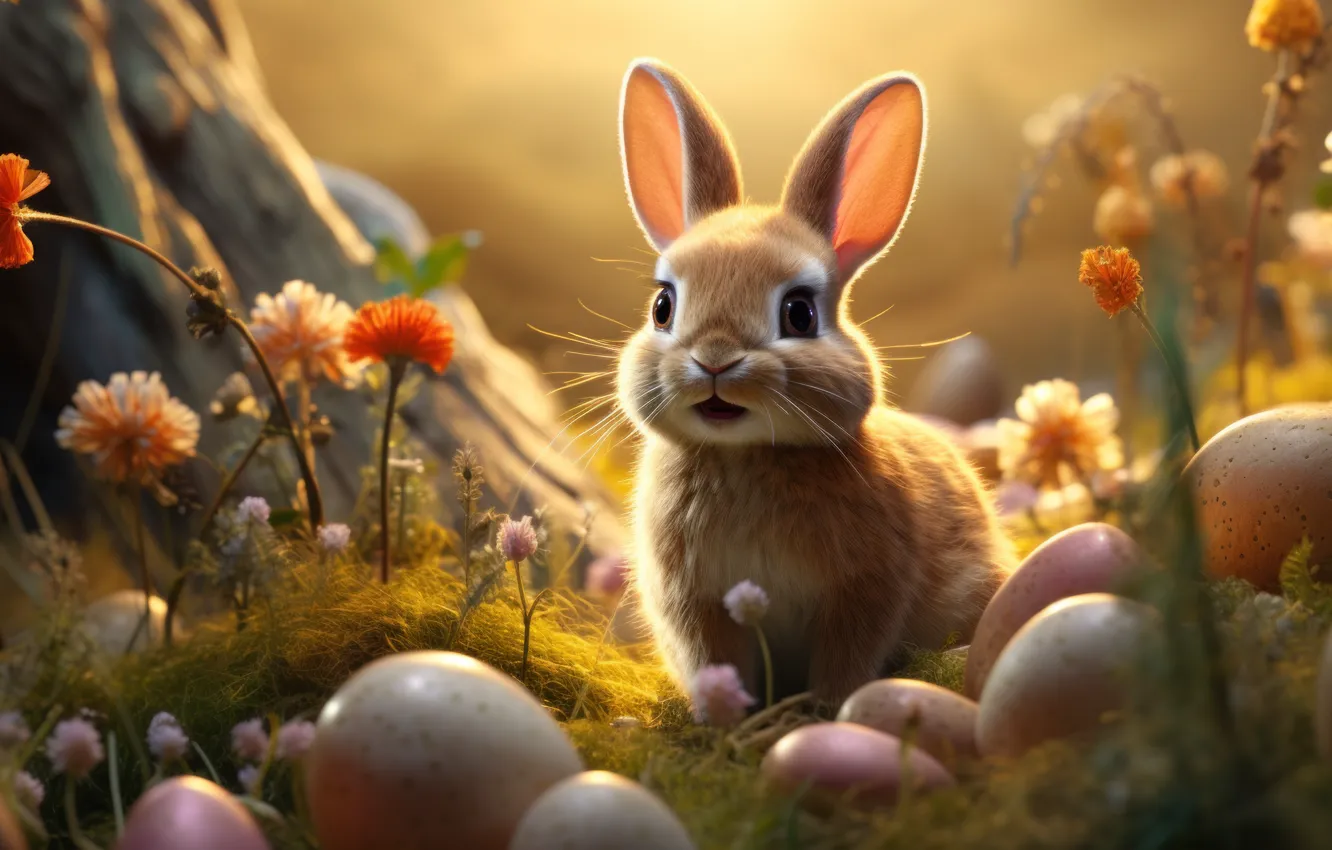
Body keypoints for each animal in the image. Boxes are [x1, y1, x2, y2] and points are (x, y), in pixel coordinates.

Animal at [613, 58, 1017, 706]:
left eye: (799, 313)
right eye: (663, 306)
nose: (715, 360)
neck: (745, 454)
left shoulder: (866, 588)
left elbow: (846, 658)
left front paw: (826, 710)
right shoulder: (693, 604)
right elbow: (713, 660)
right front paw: (726, 714)